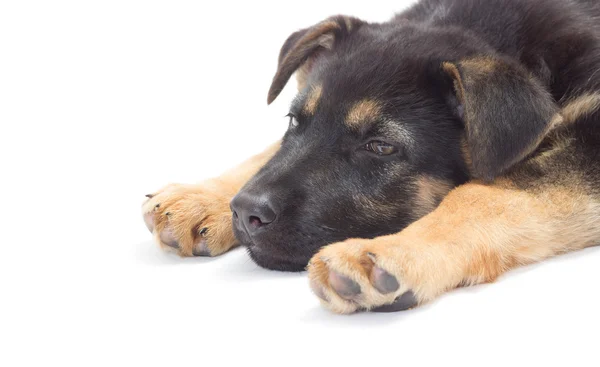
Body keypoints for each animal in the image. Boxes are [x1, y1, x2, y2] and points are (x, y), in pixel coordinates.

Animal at [142, 0, 600, 314]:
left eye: (379, 147)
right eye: (294, 120)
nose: (243, 212)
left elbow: (485, 195)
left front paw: (392, 251)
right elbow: (269, 153)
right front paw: (201, 197)